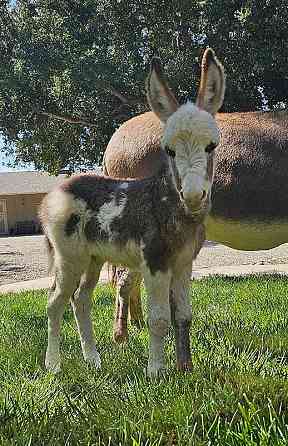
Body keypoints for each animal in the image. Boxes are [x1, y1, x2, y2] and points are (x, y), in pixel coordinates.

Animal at [40, 48, 225, 376]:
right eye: (169, 151)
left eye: (211, 146)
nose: (193, 196)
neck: (170, 204)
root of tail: (56, 192)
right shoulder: (155, 263)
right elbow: (159, 319)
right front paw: (156, 372)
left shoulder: (183, 264)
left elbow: (183, 316)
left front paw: (186, 369)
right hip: (69, 258)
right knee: (55, 302)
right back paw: (54, 365)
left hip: (93, 258)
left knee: (81, 300)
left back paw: (93, 360)